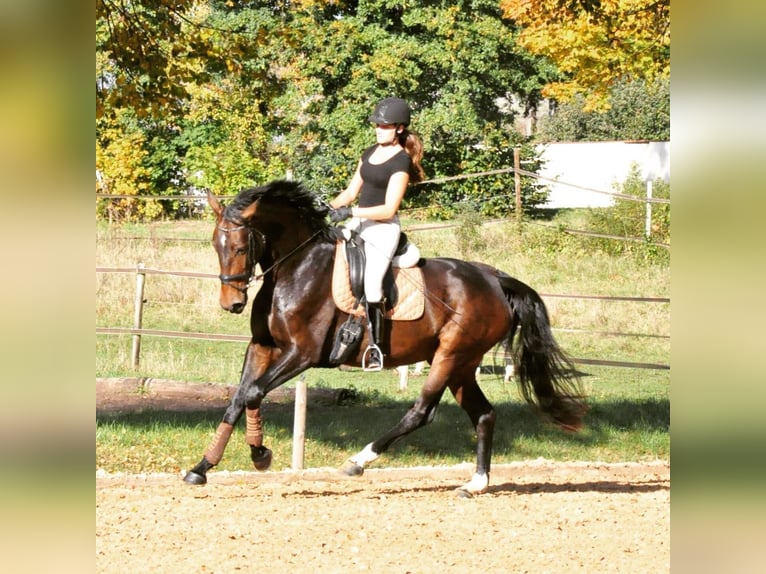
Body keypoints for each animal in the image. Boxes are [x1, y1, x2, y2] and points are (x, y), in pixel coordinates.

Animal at [184, 179, 588, 496]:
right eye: (215, 246)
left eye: (240, 248)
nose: (232, 303)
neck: (295, 267)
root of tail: (495, 279)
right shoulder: (263, 347)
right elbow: (238, 399)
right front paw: (202, 467)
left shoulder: (302, 353)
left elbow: (254, 392)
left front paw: (260, 455)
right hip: (461, 364)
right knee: (484, 414)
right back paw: (475, 484)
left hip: (450, 356)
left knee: (422, 412)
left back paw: (358, 461)